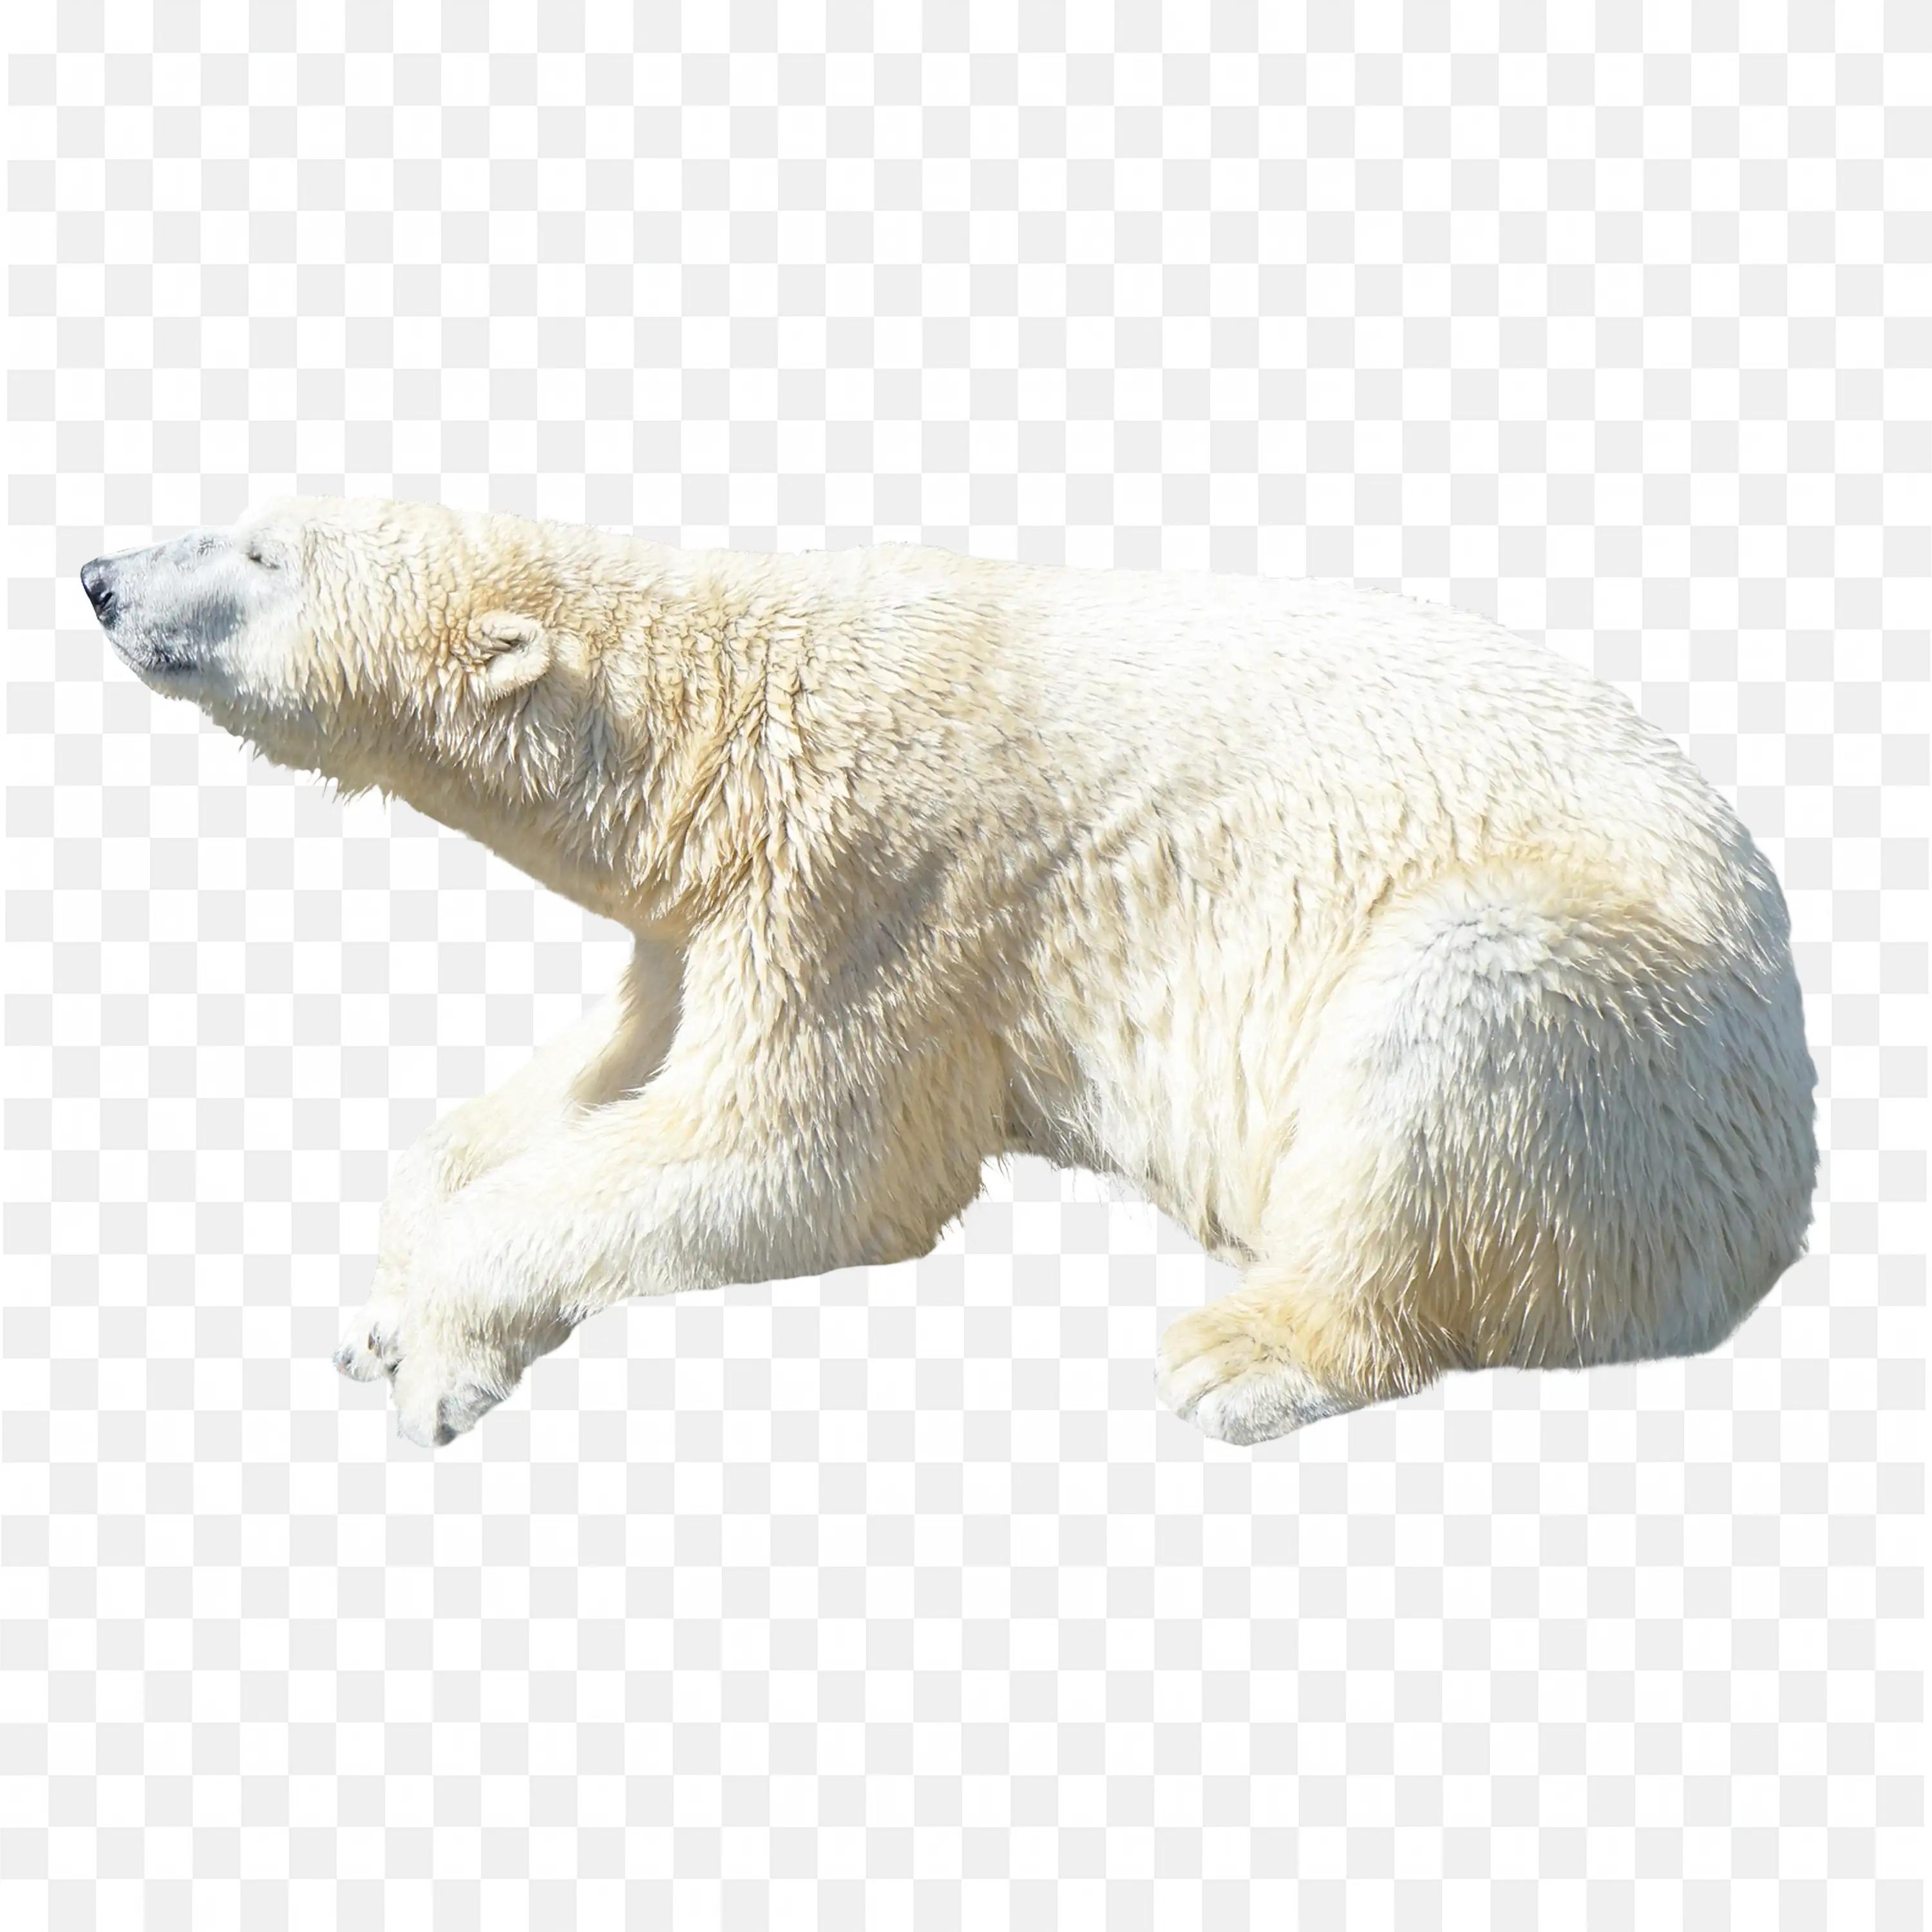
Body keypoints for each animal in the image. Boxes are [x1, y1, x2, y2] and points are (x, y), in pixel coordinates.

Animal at [80, 495, 1819, 1449]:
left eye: (260, 549)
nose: (97, 574)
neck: (719, 715)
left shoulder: (875, 883)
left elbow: (809, 1156)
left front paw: (442, 1361)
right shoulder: (709, 917)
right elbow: (600, 1081)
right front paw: (384, 1305)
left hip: (1619, 1024)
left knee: (1449, 1023)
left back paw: (1242, 1355)